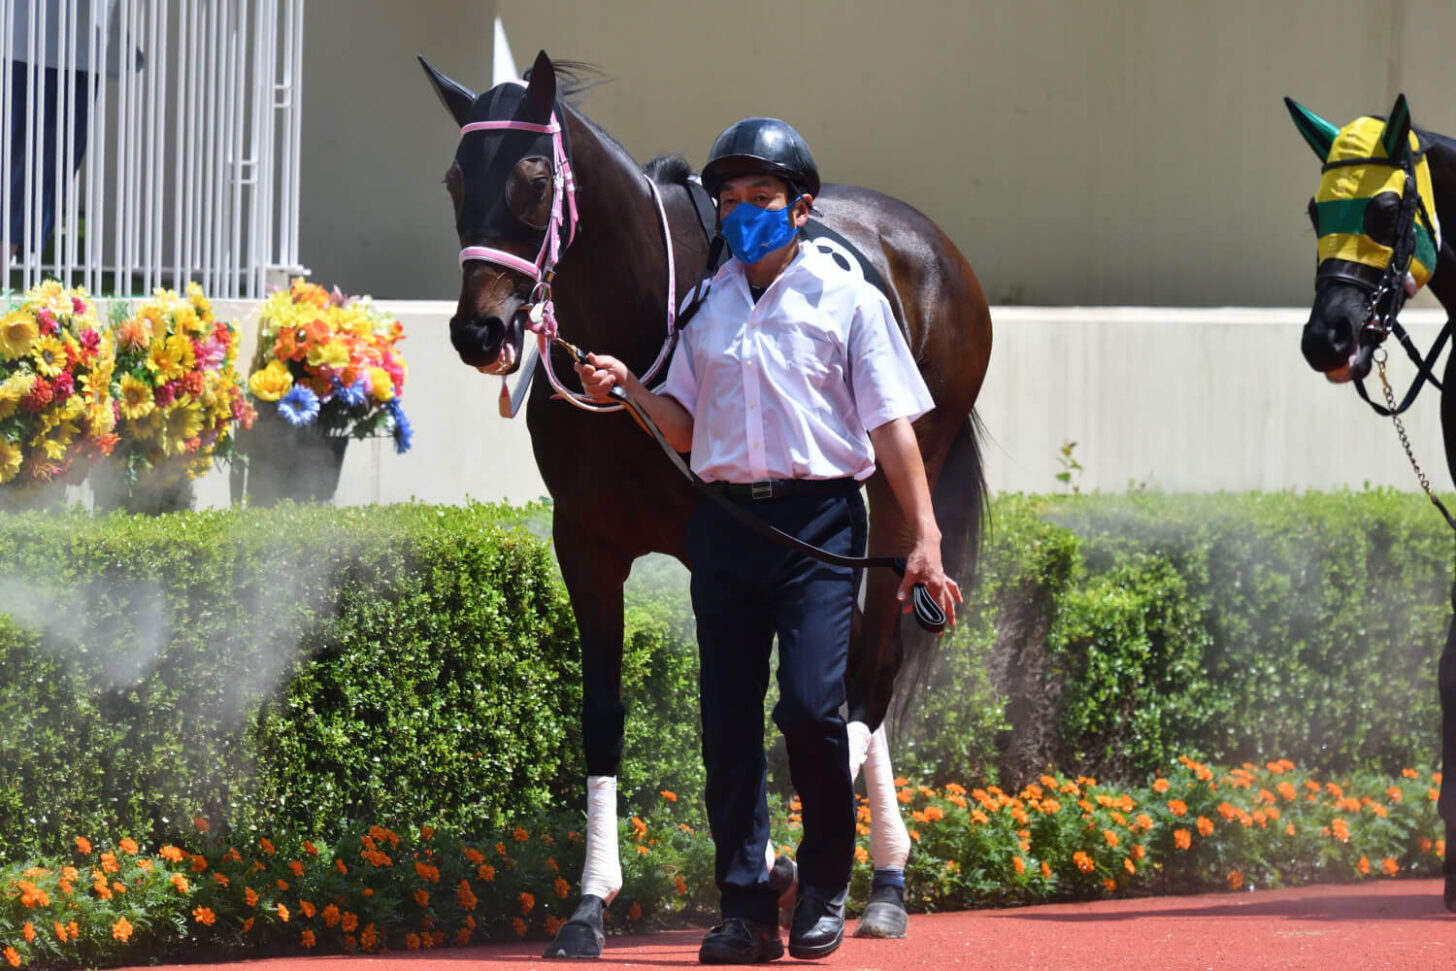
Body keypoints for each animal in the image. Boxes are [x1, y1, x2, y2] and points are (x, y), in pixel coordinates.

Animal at [422, 53, 990, 954]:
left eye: (533, 176)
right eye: (453, 178)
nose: (479, 332)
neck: (639, 314)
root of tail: (936, 245)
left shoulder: (718, 544)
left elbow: (756, 716)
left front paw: (773, 870)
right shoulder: (585, 543)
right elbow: (606, 714)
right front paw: (589, 903)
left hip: (905, 485)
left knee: (870, 675)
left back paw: (839, 871)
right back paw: (884, 878)